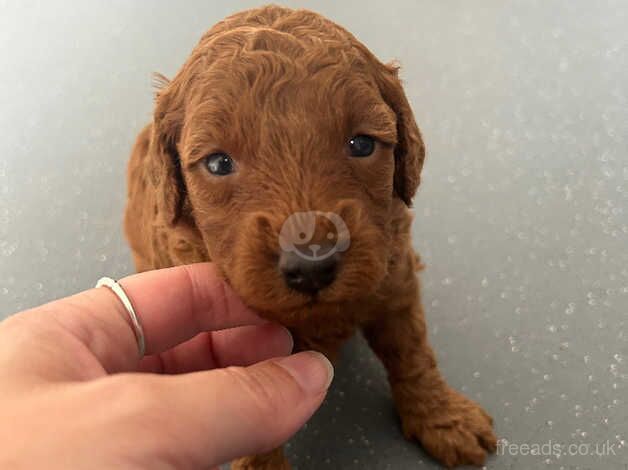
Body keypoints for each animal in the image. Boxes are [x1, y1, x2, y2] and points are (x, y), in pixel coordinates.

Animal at [124, 4, 496, 470]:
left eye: (361, 144)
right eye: (218, 163)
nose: (312, 266)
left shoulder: (395, 280)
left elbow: (412, 351)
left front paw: (444, 419)